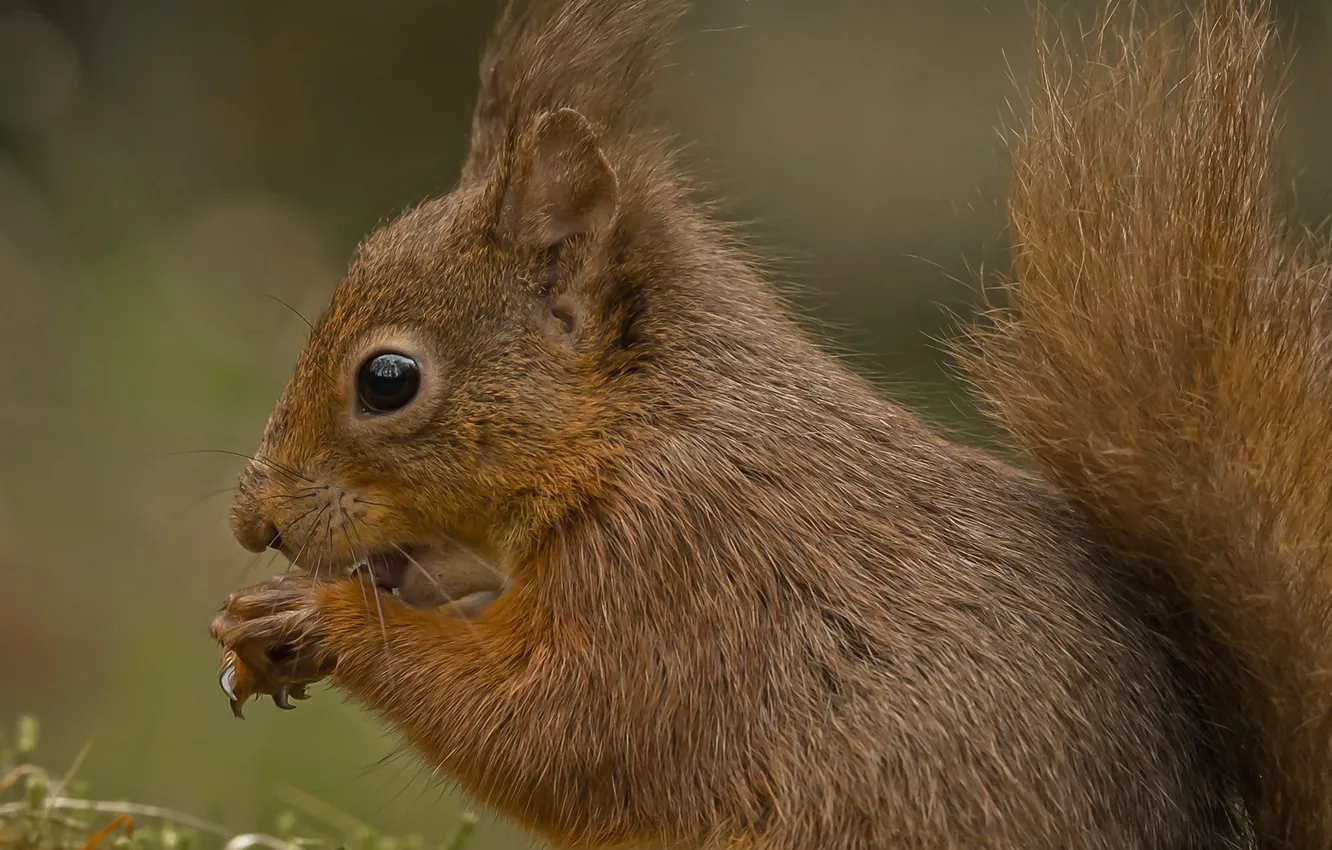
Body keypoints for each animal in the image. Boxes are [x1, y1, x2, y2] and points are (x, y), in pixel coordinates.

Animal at [209, 0, 1332, 847]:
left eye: (388, 380)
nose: (253, 521)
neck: (638, 430)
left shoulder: (687, 571)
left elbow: (557, 733)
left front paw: (320, 617)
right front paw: (262, 619)